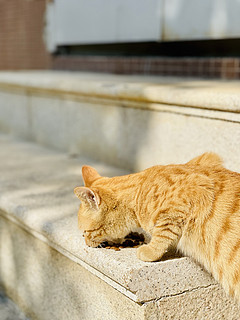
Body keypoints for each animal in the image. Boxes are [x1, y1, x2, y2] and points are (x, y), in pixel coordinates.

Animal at [74, 154, 240, 302]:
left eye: (85, 232)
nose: (86, 243)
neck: (138, 192)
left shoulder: (190, 193)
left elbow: (163, 232)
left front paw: (150, 250)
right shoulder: (209, 158)